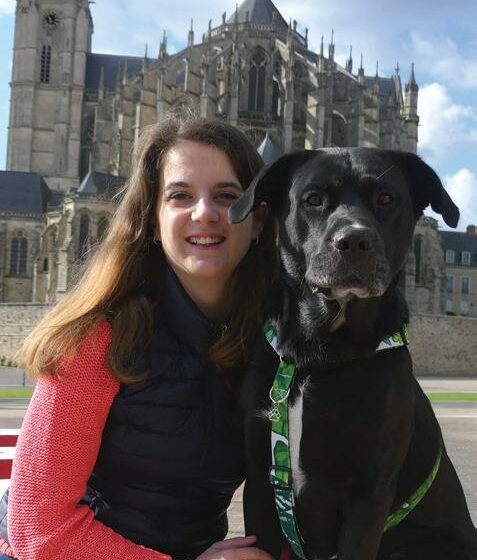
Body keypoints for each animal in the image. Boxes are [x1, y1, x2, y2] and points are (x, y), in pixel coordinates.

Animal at [229, 149, 474, 560]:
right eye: (313, 199)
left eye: (386, 198)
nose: (355, 240)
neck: (316, 355)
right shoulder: (262, 480)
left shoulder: (370, 492)